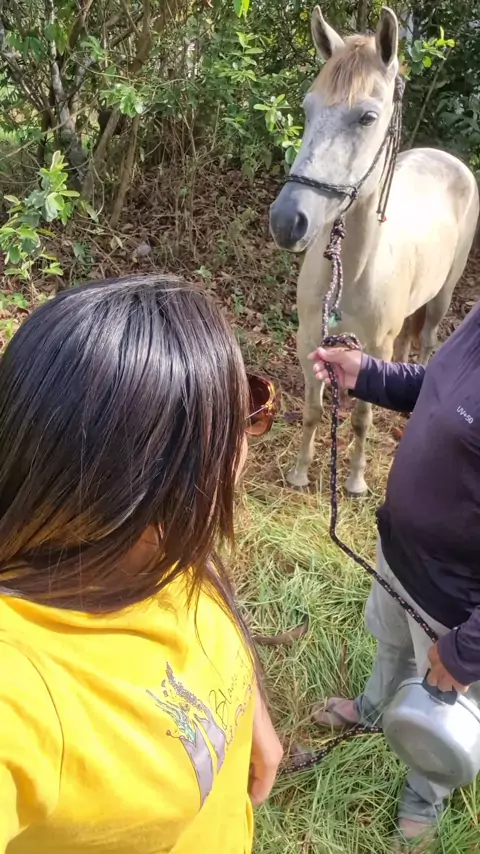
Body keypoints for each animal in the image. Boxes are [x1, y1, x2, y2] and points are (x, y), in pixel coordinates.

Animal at [269, 6, 479, 497]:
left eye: (367, 117)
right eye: (307, 109)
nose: (287, 221)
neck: (355, 268)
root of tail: (448, 159)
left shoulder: (375, 347)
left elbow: (362, 420)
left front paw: (355, 481)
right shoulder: (310, 339)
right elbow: (314, 409)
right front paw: (300, 473)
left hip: (442, 298)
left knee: (425, 341)